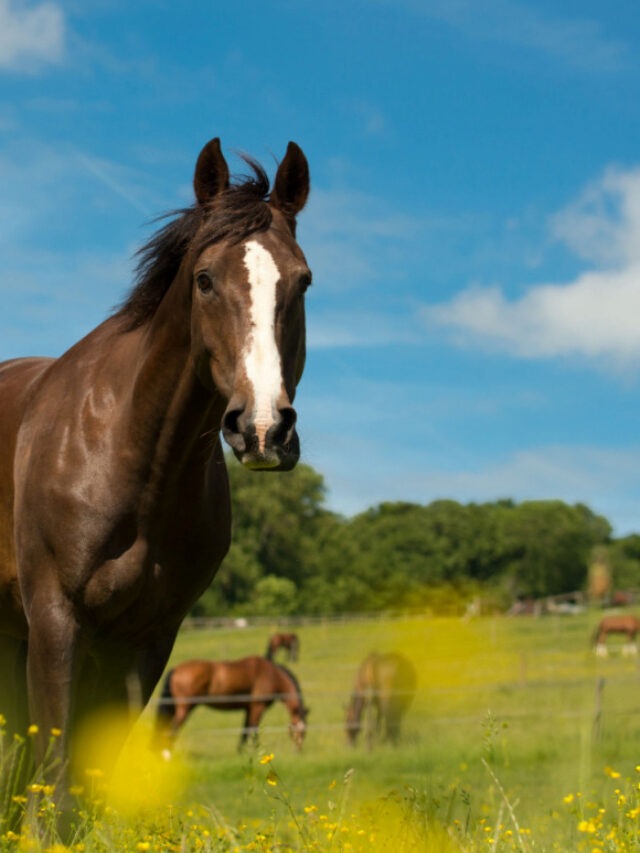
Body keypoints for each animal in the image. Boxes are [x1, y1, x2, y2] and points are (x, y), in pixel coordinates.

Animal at [154, 655, 309, 755]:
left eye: (305, 731)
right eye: (298, 730)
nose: (298, 750)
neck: (272, 675)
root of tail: (175, 669)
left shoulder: (248, 708)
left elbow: (245, 730)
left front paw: (240, 751)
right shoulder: (258, 708)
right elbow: (253, 730)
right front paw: (254, 751)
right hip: (185, 708)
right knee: (173, 728)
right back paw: (168, 753)